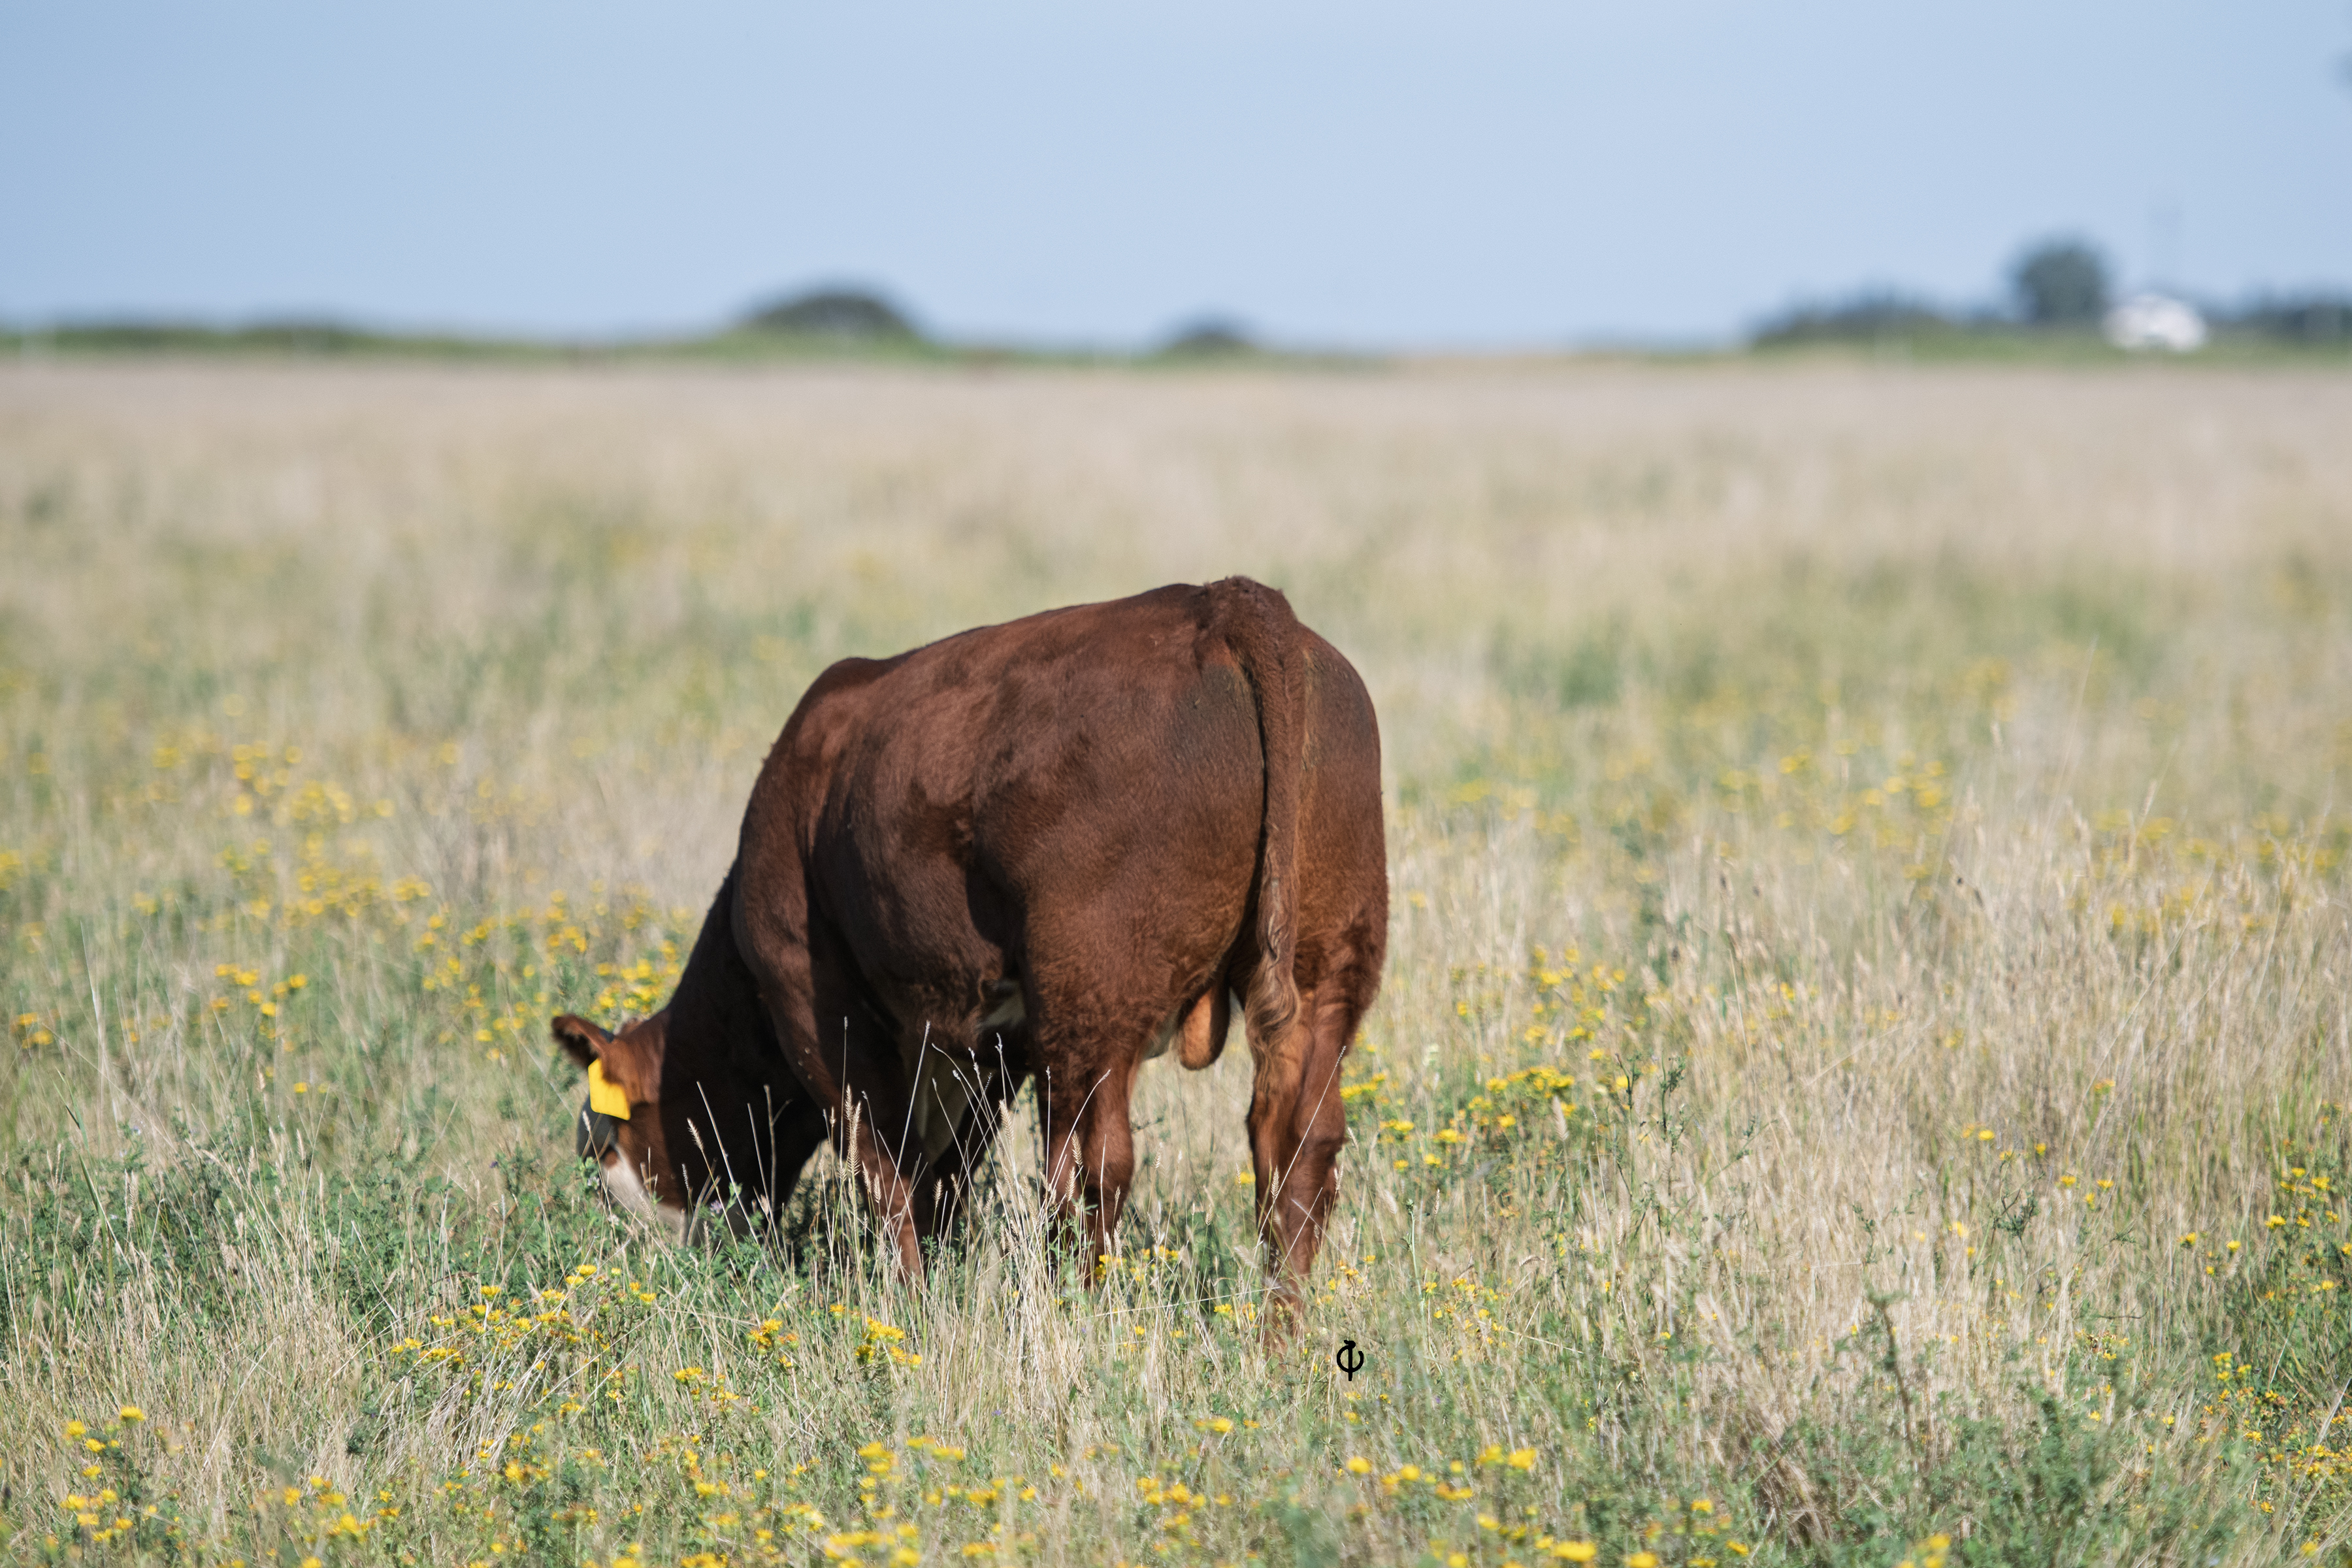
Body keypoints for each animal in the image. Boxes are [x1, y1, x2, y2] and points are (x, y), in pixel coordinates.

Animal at [551, 577, 1386, 1316]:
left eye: (604, 1147)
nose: (639, 1257)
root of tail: (1227, 603)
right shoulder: (985, 1041)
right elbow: (941, 1176)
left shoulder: (811, 1002)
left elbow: (886, 1171)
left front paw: (915, 1306)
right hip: (1326, 962)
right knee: (1295, 1147)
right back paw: (1281, 1341)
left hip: (1092, 982)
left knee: (1092, 1163)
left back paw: (1080, 1316)